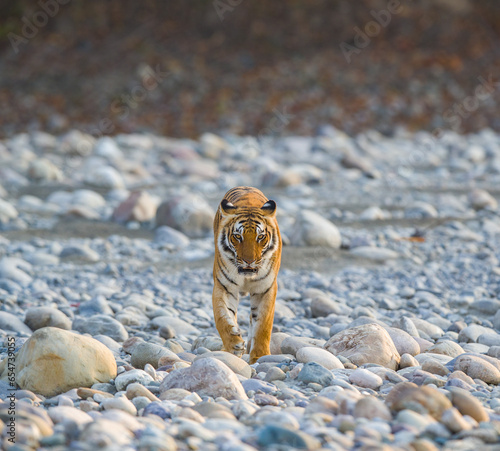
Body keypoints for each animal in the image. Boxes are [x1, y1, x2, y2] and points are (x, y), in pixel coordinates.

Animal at [212, 185, 282, 366]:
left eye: (260, 237)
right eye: (238, 236)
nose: (249, 261)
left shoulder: (265, 288)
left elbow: (263, 324)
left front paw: (260, 356)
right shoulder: (224, 286)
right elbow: (222, 316)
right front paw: (233, 344)